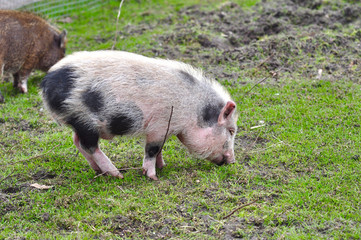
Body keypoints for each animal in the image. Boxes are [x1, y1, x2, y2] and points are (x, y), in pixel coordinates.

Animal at [40, 50, 238, 180]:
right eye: (231, 131)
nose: (233, 161)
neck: (193, 109)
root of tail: (46, 83)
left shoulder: (163, 129)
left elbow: (160, 148)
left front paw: (162, 166)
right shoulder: (159, 125)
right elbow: (152, 149)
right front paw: (152, 176)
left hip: (78, 120)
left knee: (77, 141)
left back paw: (98, 171)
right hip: (84, 117)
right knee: (89, 146)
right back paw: (117, 174)